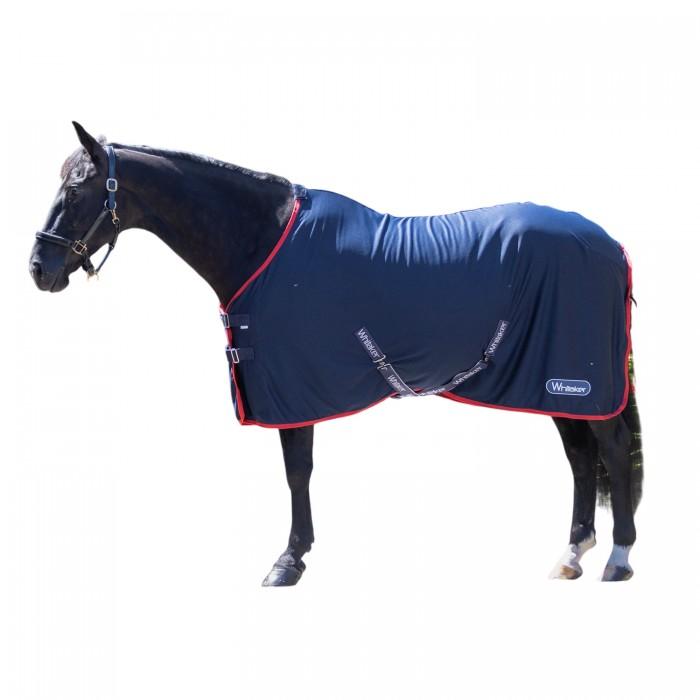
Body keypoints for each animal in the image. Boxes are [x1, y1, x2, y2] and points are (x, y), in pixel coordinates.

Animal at [28, 122, 643, 585]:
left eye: (77, 191)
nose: (39, 269)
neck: (263, 241)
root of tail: (611, 245)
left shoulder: (293, 386)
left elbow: (296, 470)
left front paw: (289, 559)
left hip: (578, 379)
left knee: (611, 451)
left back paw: (618, 558)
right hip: (552, 380)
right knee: (580, 456)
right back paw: (572, 554)